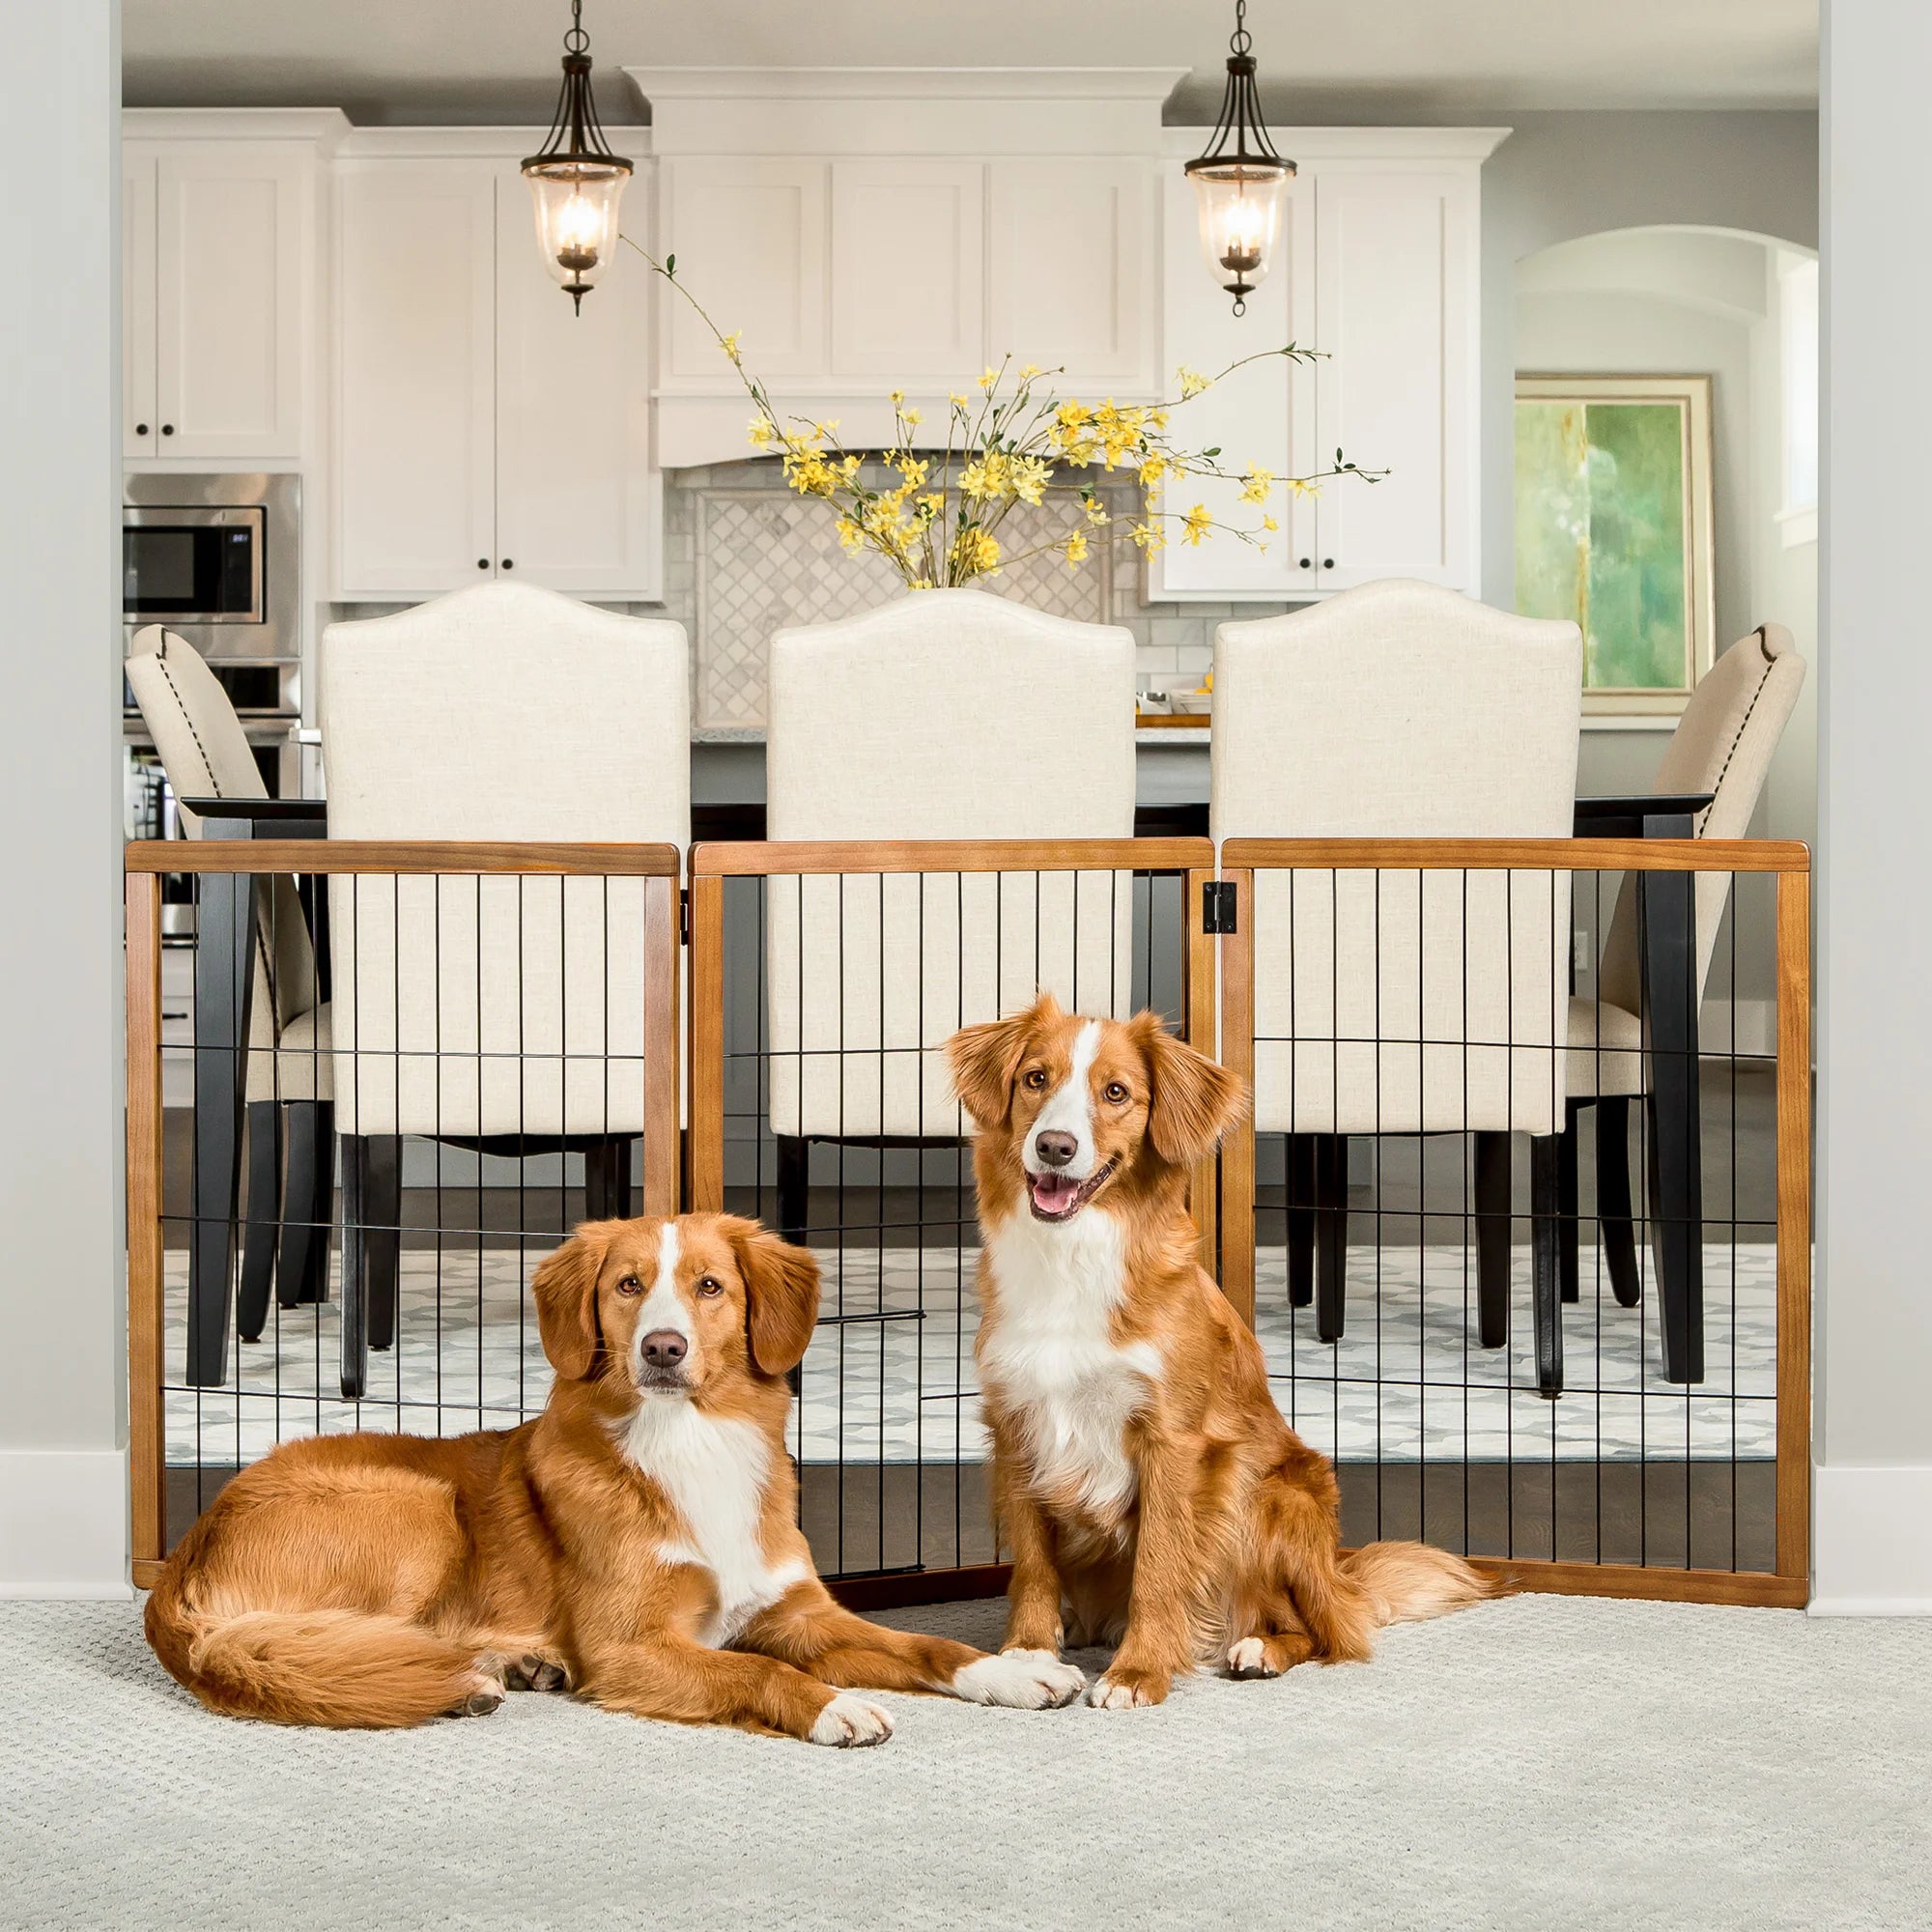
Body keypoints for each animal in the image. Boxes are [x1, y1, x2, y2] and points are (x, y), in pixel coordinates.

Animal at [141, 1213, 1090, 1747]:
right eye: (629, 1286)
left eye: (709, 1286)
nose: (662, 1349)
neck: (691, 1444)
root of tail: (183, 1554)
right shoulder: (632, 1647)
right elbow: (757, 1672)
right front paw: (833, 1706)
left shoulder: (800, 1615)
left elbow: (929, 1646)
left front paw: (1013, 1671)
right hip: (419, 1504)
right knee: (321, 1648)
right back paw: (468, 1678)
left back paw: (509, 1666)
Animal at [943, 997, 1484, 1708]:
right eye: (1036, 1079)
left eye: (1116, 1092)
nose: (1055, 1146)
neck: (1073, 1258)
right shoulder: (1017, 1428)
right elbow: (1032, 1563)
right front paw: (1027, 1655)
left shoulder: (1173, 1443)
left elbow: (1158, 1566)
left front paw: (1138, 1672)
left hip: (1268, 1496)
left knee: (1328, 1631)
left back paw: (1259, 1648)